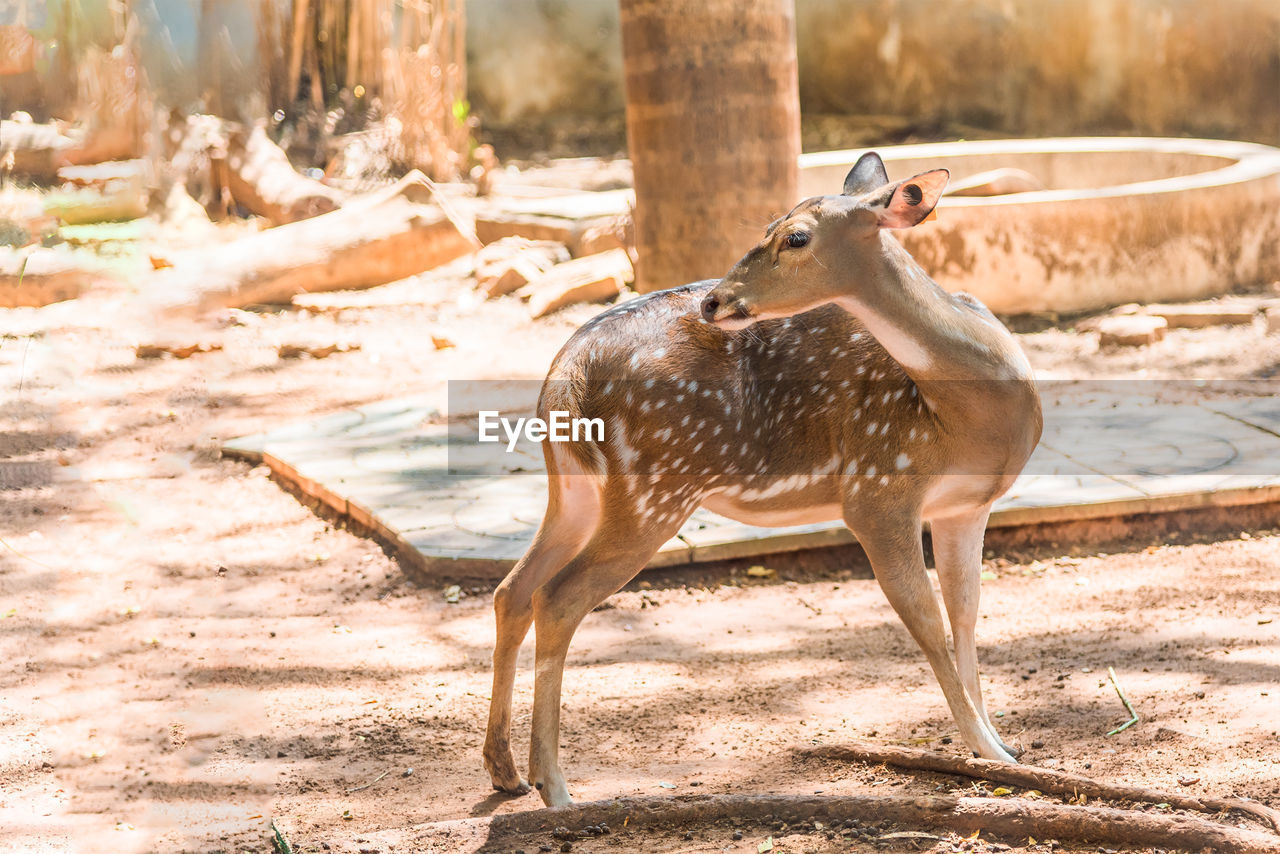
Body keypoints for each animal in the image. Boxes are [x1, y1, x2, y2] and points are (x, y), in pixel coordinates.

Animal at [483, 151, 1044, 809]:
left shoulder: (966, 505)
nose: (713, 302)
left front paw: (999, 746)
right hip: (655, 489)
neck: (971, 418)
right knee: (558, 597)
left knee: (513, 589)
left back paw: (505, 770)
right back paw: (555, 786)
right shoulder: (876, 491)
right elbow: (926, 620)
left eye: (794, 235)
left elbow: (966, 612)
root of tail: (562, 375)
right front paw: (987, 750)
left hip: (574, 489)